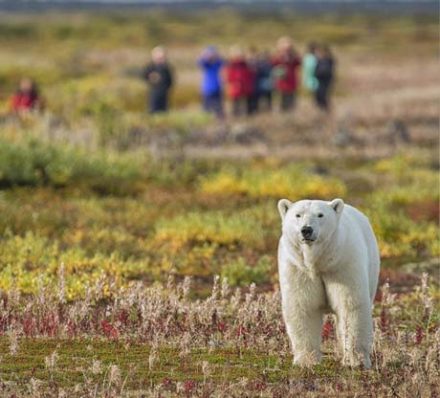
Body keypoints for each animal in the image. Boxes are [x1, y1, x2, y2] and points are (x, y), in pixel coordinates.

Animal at [278, 197, 378, 368]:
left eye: (320, 215)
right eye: (298, 215)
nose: (306, 230)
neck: (319, 263)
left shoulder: (342, 265)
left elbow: (350, 306)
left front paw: (355, 360)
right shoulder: (298, 269)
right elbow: (303, 306)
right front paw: (306, 361)